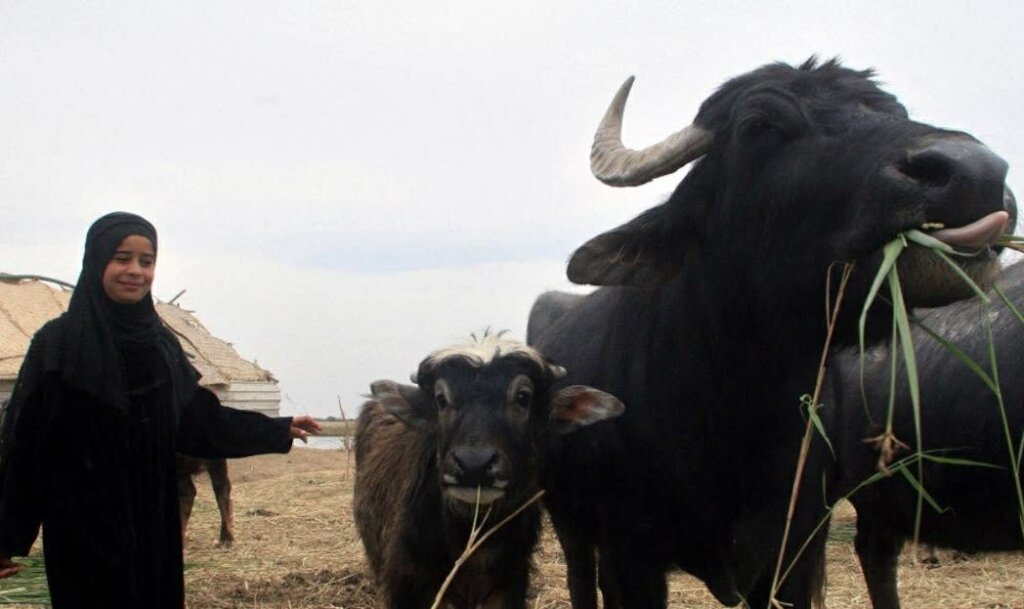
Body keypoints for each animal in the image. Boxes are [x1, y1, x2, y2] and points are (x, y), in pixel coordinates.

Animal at [353, 332, 623, 609]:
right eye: (441, 399)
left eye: (523, 397)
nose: (474, 465)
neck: (472, 544)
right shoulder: (408, 584)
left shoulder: (509, 586)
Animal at [529, 58, 1014, 609]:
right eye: (760, 126)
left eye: (894, 111)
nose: (975, 172)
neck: (730, 415)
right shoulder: (628, 555)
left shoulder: (794, 548)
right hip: (570, 526)